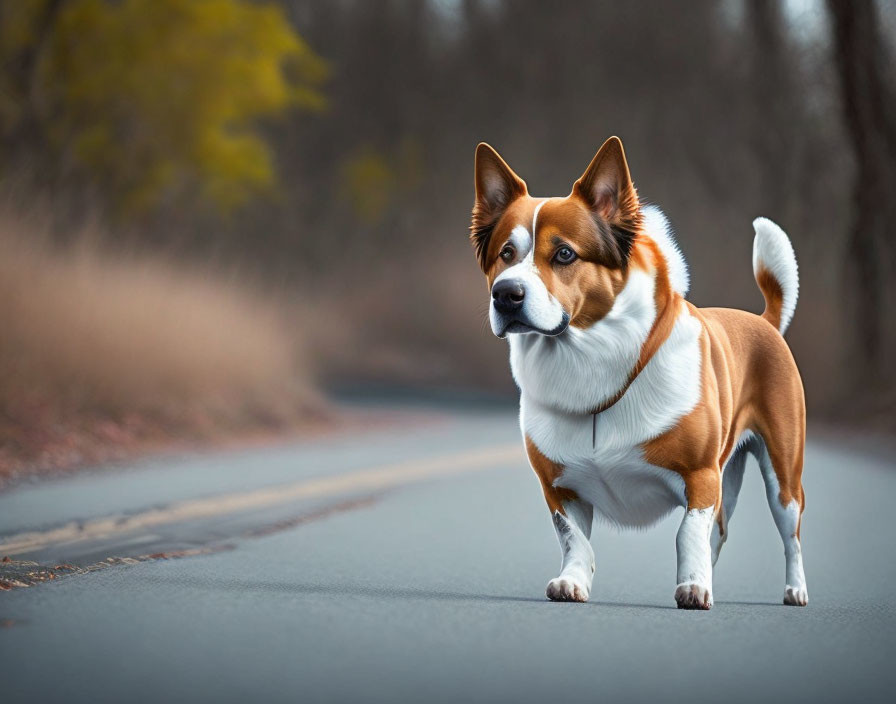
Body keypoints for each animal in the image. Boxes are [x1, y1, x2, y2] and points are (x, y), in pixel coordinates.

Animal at [472, 135, 808, 608]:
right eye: (506, 253)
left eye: (564, 254)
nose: (505, 295)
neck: (591, 364)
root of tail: (764, 320)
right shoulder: (559, 488)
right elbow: (574, 538)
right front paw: (573, 581)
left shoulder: (700, 475)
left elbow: (688, 533)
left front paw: (692, 587)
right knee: (720, 530)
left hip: (783, 471)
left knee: (789, 531)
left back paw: (793, 589)